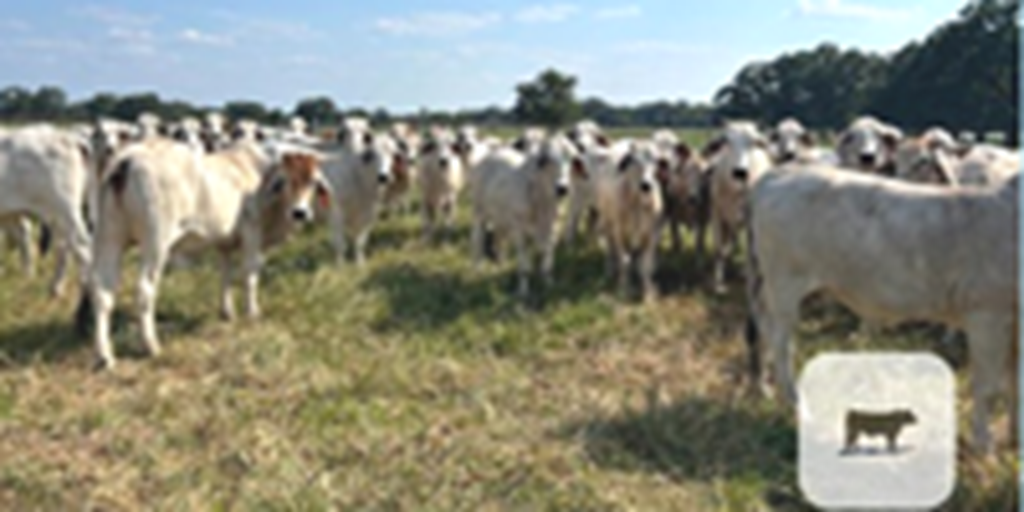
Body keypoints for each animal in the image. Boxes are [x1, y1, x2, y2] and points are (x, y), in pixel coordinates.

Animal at [85, 136, 331, 368]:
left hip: (108, 238)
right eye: (287, 181)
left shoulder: (225, 242)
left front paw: (227, 312)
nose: (300, 212)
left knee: (102, 292)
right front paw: (253, 313)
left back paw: (104, 356)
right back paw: (151, 346)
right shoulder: (252, 233)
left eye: (313, 182)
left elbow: (226, 274)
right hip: (155, 243)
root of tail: (128, 158)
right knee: (144, 291)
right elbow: (250, 276)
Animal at [468, 134, 577, 299]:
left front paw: (548, 284)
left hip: (502, 219)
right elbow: (524, 266)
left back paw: (501, 264)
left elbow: (547, 262)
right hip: (479, 212)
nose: (562, 188)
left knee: (500, 238)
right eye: (546, 159)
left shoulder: (552, 230)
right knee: (478, 240)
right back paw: (477, 270)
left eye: (571, 159)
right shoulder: (520, 232)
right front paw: (523, 291)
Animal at [700, 121, 770, 294]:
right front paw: (718, 284)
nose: (740, 172)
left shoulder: (749, 222)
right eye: (726, 141)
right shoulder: (717, 216)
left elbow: (749, 254)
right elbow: (719, 250)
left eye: (754, 142)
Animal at [745, 161, 1015, 454]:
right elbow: (988, 388)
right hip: (785, 284)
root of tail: (779, 172)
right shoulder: (987, 315)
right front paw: (985, 446)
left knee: (763, 327)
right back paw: (799, 407)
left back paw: (763, 388)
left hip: (773, 287)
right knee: (781, 343)